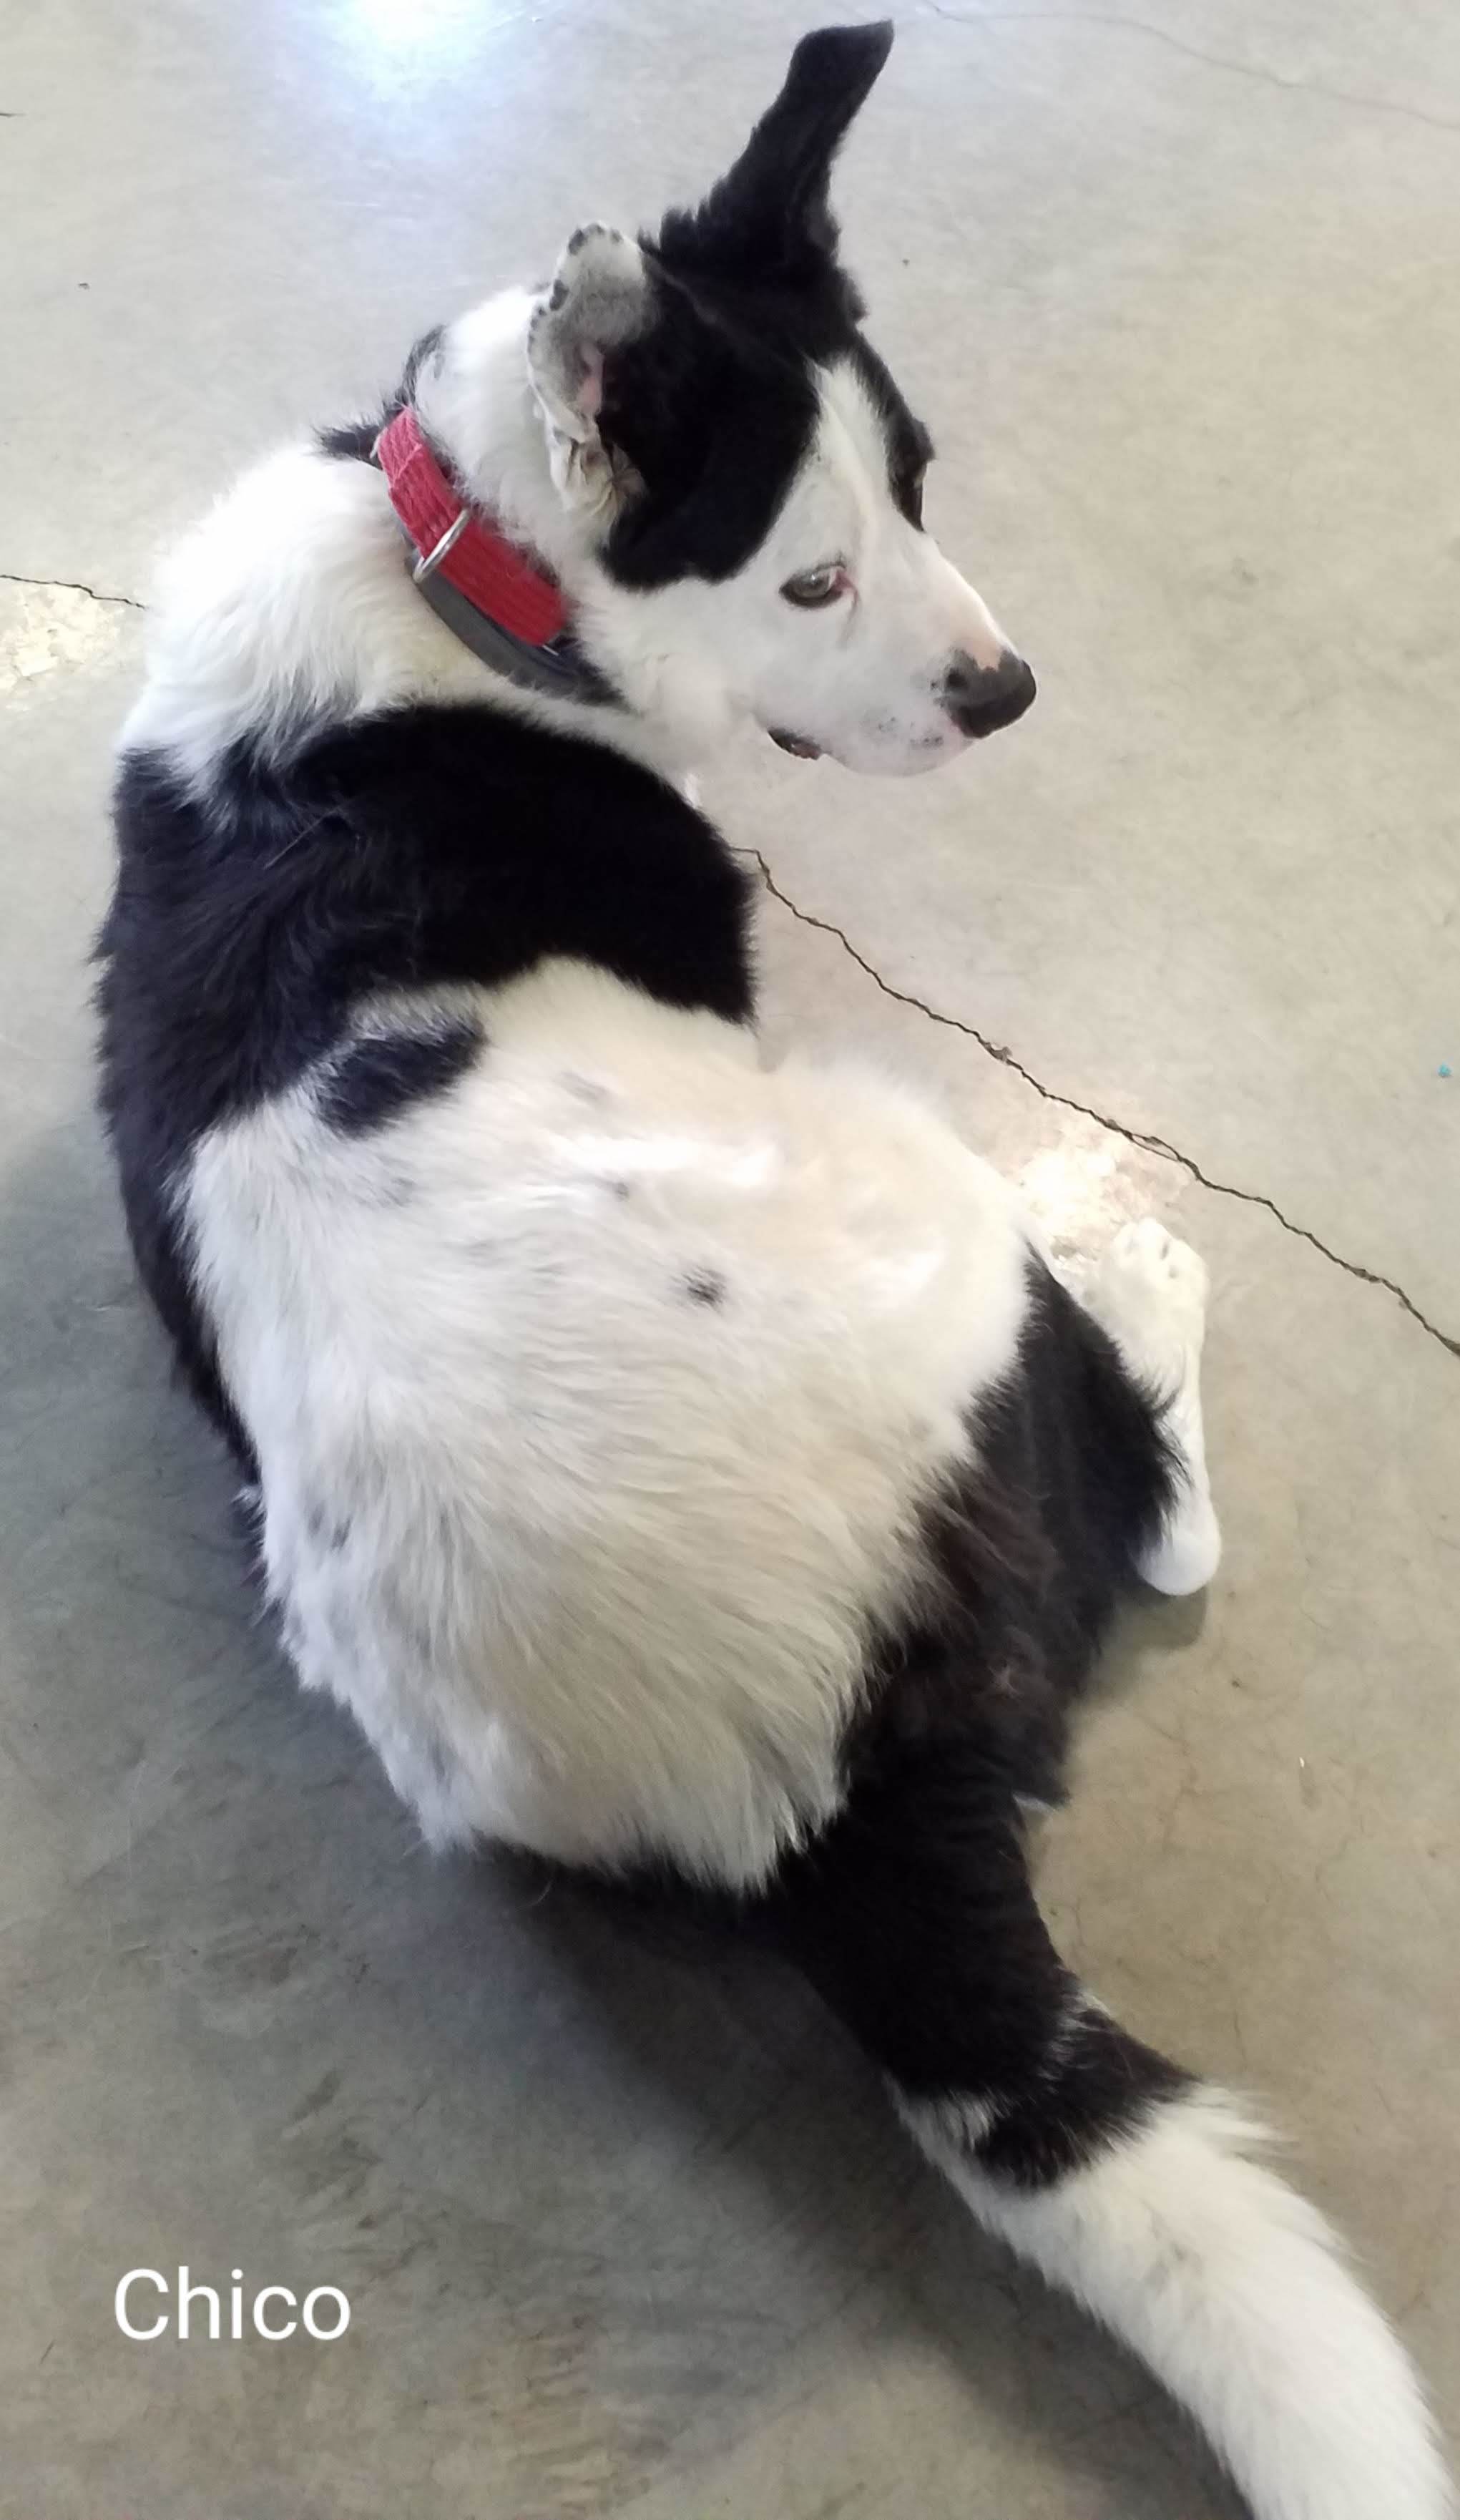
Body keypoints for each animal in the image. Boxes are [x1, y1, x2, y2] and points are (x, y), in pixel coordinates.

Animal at [94, 24, 1449, 2520]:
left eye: (918, 481)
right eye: (809, 577)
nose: (1009, 691)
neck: (458, 572)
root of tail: (840, 1769)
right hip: (918, 1192)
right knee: (1163, 1501)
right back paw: (1136, 1260)